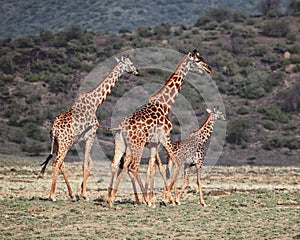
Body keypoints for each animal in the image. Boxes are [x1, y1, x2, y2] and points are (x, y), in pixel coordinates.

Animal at [37, 56, 139, 201]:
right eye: (131, 64)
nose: (137, 72)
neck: (95, 102)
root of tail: (54, 129)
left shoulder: (81, 140)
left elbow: (89, 164)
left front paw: (80, 192)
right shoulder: (91, 134)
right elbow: (86, 164)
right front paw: (84, 194)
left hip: (56, 143)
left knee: (61, 163)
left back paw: (71, 194)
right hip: (65, 143)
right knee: (57, 162)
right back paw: (52, 196)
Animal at [104, 50, 212, 206]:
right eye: (197, 61)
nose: (209, 69)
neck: (165, 105)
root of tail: (120, 128)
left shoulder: (154, 143)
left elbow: (152, 168)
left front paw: (158, 198)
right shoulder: (165, 138)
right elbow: (173, 164)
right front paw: (167, 198)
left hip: (121, 144)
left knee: (115, 165)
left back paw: (111, 199)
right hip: (137, 145)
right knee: (133, 167)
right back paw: (144, 200)